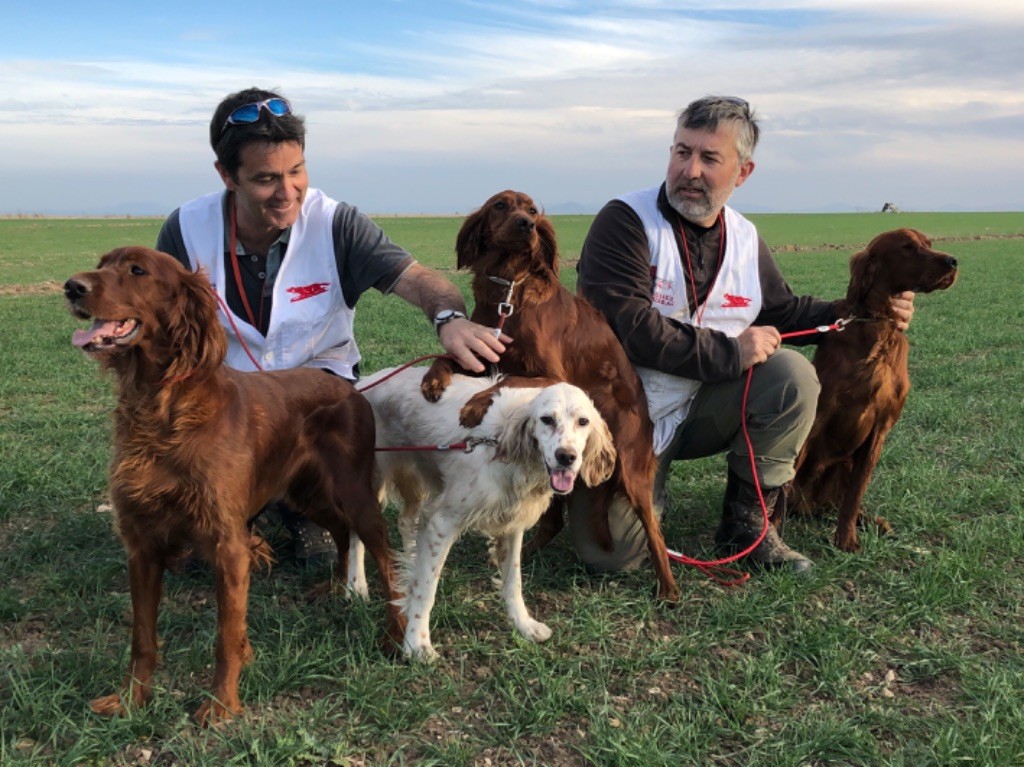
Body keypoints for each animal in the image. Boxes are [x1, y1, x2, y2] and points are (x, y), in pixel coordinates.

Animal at [65, 246, 403, 725]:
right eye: (101, 264)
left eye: (137, 270)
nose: (71, 287)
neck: (160, 408)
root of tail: (350, 388)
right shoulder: (142, 546)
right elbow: (142, 636)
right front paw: (132, 699)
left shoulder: (227, 543)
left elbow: (225, 636)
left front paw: (222, 703)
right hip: (305, 491)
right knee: (339, 531)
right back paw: (337, 588)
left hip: (354, 492)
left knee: (382, 553)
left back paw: (395, 635)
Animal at [360, 364, 614, 659]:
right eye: (547, 419)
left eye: (583, 421)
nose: (566, 456)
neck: (502, 444)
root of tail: (365, 382)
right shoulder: (441, 521)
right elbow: (426, 587)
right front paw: (416, 642)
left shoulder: (512, 525)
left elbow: (513, 582)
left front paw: (524, 625)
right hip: (373, 480)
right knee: (357, 535)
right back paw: (356, 587)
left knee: (405, 521)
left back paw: (409, 557)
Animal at [415, 188, 679, 602]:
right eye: (500, 206)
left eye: (532, 210)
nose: (527, 225)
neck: (509, 288)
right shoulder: (483, 352)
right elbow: (449, 356)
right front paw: (433, 380)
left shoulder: (550, 373)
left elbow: (508, 380)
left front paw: (475, 405)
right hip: (557, 463)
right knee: (553, 518)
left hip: (633, 469)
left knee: (653, 529)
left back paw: (668, 587)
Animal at [786, 227, 954, 548]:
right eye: (907, 247)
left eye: (928, 243)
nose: (953, 261)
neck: (877, 326)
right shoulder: (819, 415)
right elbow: (781, 490)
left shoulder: (880, 429)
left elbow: (854, 496)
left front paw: (845, 540)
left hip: (845, 465)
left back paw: (874, 522)